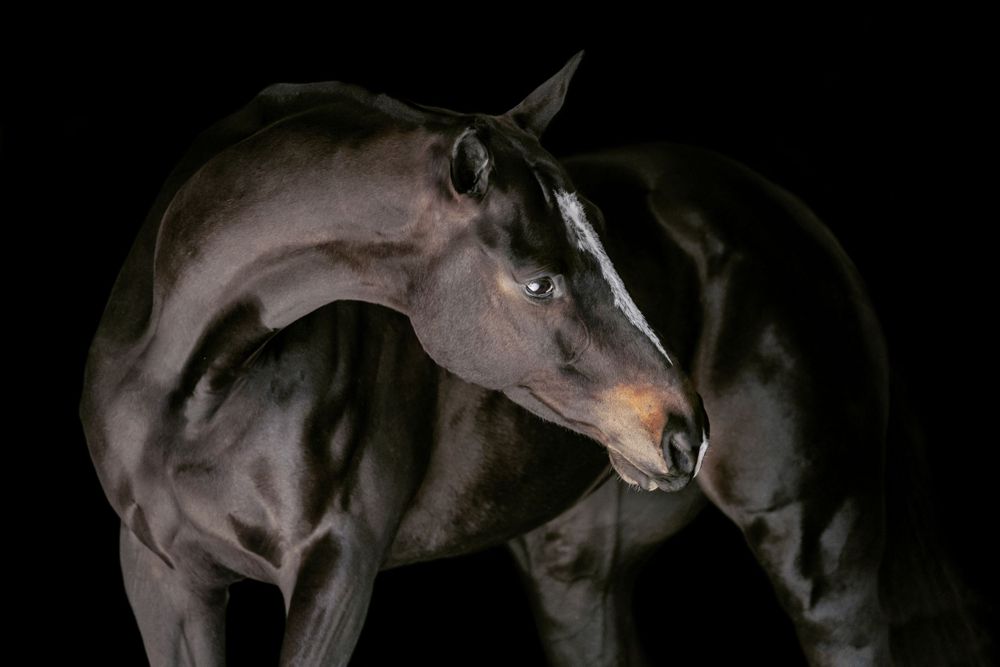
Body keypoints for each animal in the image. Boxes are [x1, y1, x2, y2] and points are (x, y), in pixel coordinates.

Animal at [79, 53, 982, 666]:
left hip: (817, 540)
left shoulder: (334, 570)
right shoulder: (164, 578)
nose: (683, 431)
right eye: (539, 280)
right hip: (577, 572)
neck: (190, 385)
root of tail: (799, 219)